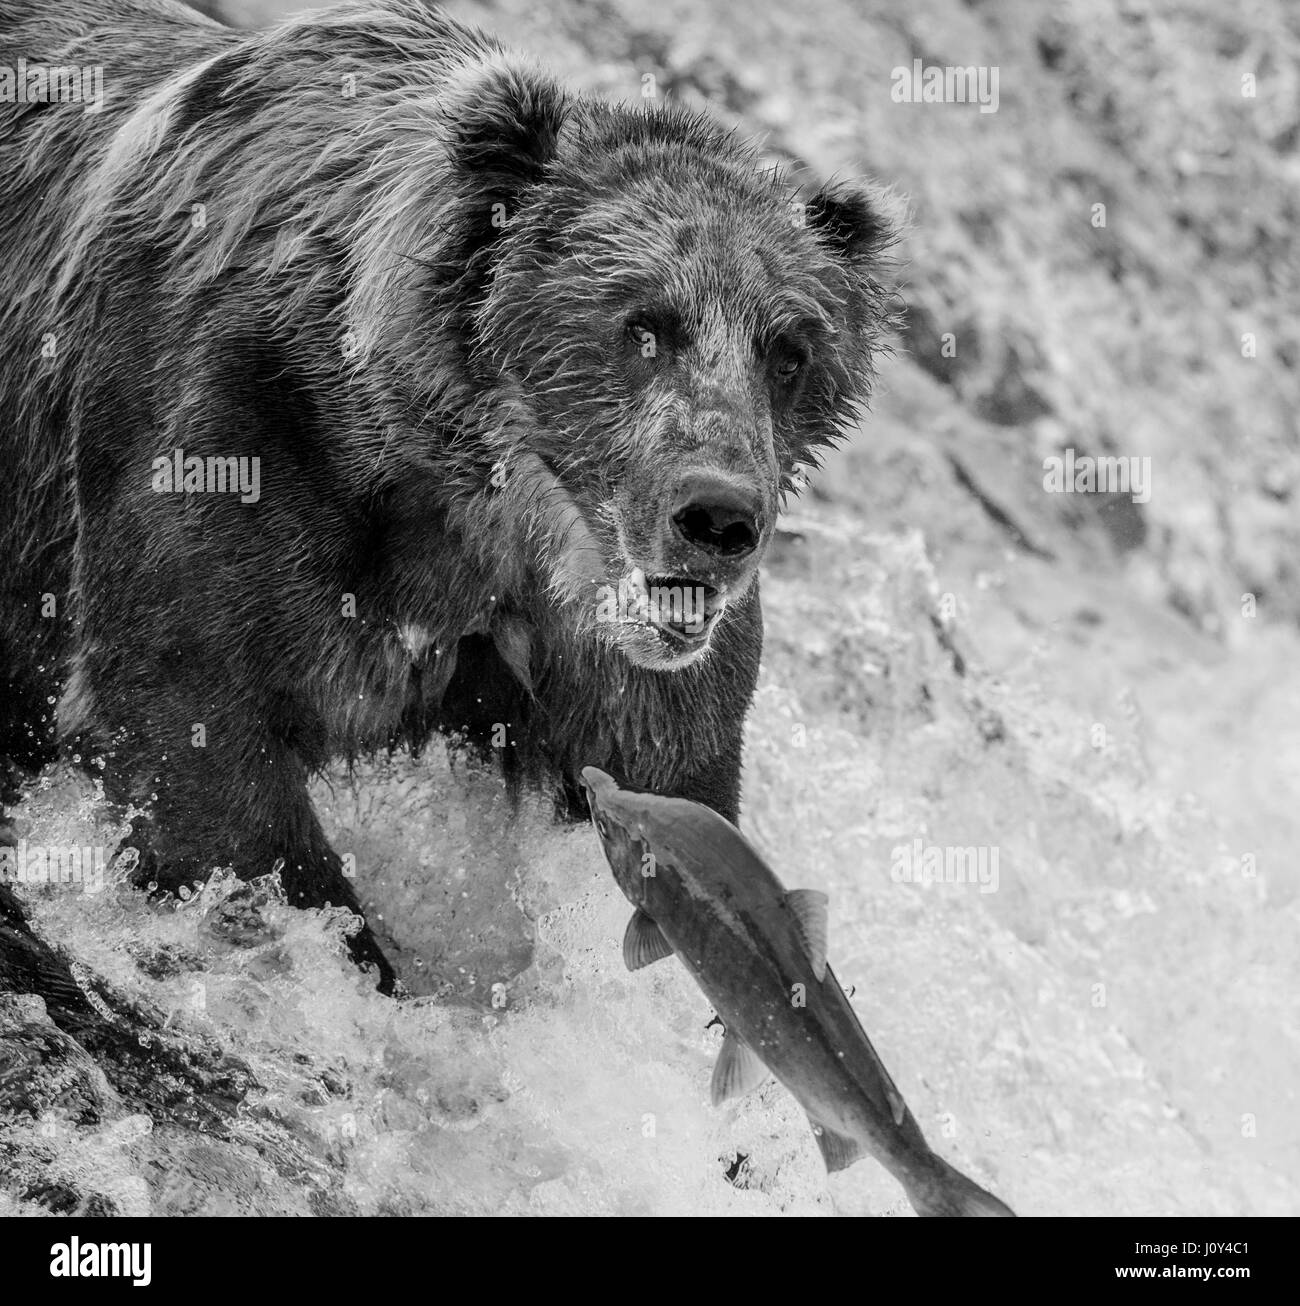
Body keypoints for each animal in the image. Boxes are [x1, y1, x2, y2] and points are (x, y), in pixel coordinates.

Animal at [0, 0, 893, 987]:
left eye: (790, 351)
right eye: (644, 325)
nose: (719, 517)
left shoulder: (593, 652)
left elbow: (670, 773)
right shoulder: (231, 432)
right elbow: (189, 729)